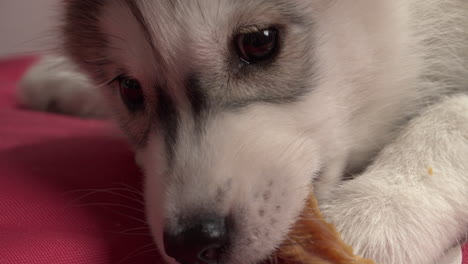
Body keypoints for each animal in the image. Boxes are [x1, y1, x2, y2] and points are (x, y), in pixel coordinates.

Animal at [18, 0, 468, 264]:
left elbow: (451, 118)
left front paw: (379, 207)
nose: (191, 244)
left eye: (258, 42)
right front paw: (57, 77)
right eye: (129, 89)